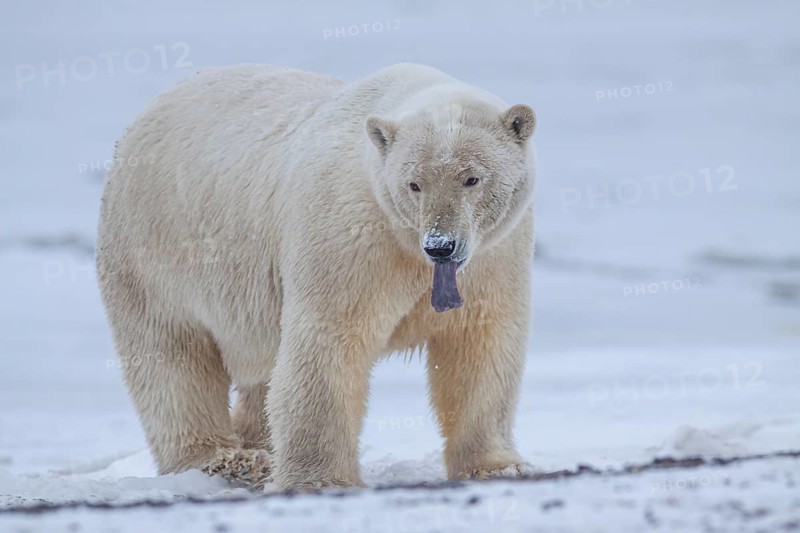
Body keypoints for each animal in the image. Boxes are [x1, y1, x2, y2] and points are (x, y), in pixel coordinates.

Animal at [96, 63, 537, 490]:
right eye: (414, 184)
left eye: (472, 178)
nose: (440, 245)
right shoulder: (349, 233)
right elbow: (329, 340)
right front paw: (320, 478)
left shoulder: (495, 255)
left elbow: (478, 344)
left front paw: (500, 466)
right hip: (155, 249)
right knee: (173, 357)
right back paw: (227, 460)